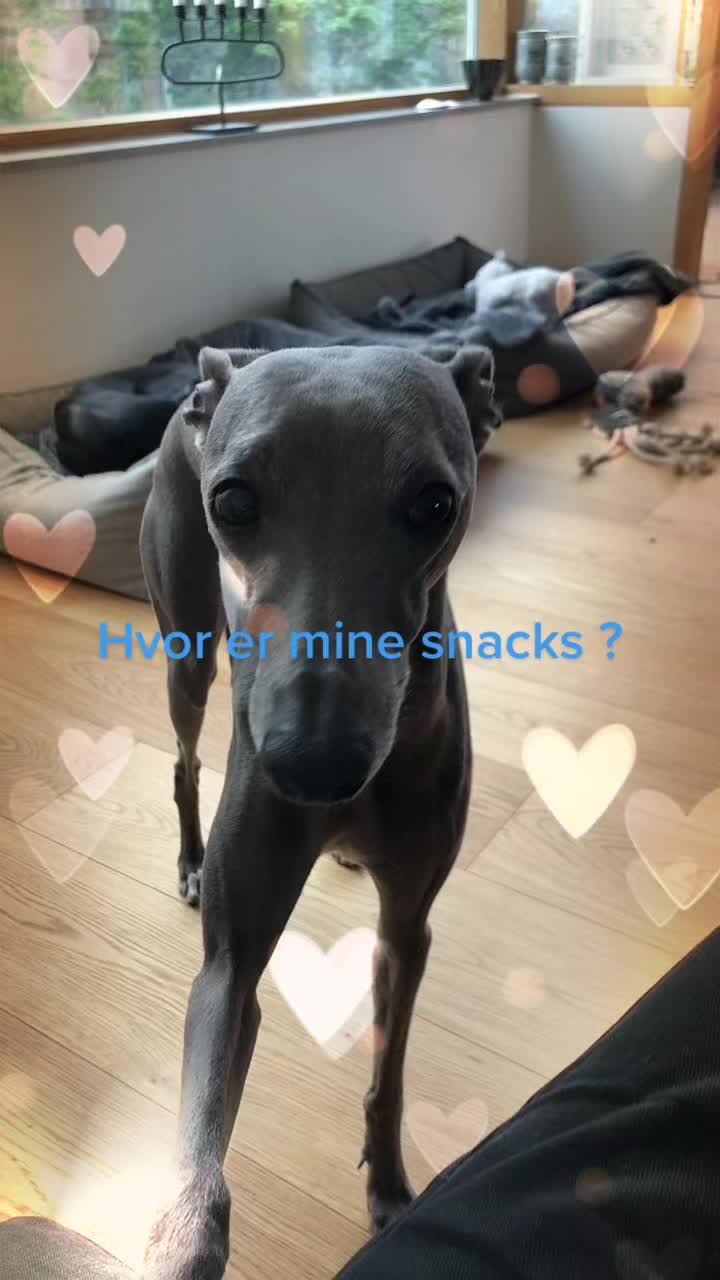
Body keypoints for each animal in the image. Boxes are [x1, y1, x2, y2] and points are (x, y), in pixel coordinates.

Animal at [139, 342, 501, 1280]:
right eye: (233, 501)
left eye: (434, 503)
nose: (313, 767)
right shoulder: (228, 970)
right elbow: (199, 1147)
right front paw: (182, 1238)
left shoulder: (407, 927)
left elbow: (389, 1071)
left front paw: (392, 1186)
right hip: (185, 646)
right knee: (185, 756)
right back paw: (189, 859)